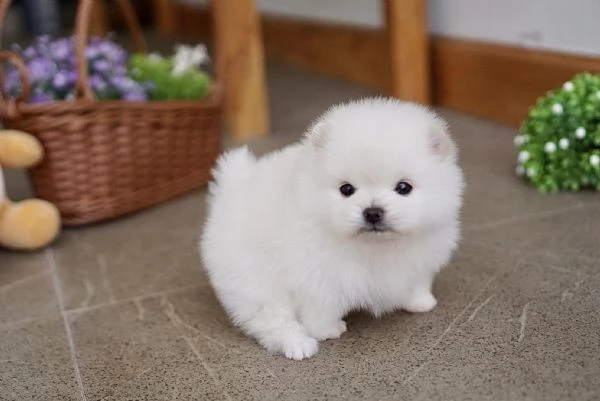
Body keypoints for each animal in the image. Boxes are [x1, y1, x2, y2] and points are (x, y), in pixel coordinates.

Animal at [200, 97, 464, 360]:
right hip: (255, 280)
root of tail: (230, 190)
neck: (374, 248)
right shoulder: (316, 275)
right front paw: (327, 330)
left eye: (403, 187)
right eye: (346, 189)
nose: (373, 212)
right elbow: (320, 307)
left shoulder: (420, 259)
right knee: (270, 319)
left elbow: (417, 280)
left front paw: (420, 301)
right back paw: (298, 344)